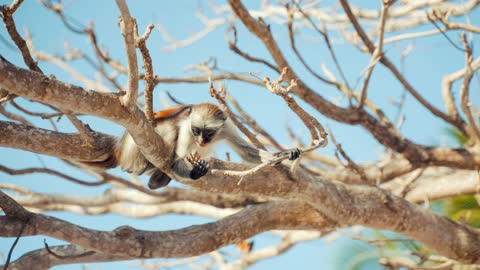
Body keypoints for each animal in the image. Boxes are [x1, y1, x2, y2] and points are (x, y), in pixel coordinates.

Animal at [87, 102, 300, 189]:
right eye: (197, 131)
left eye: (209, 133)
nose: (201, 141)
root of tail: (120, 148)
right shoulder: (186, 128)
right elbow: (176, 160)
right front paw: (195, 173)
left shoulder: (225, 127)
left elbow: (247, 153)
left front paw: (285, 154)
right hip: (134, 150)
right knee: (168, 130)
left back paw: (157, 181)